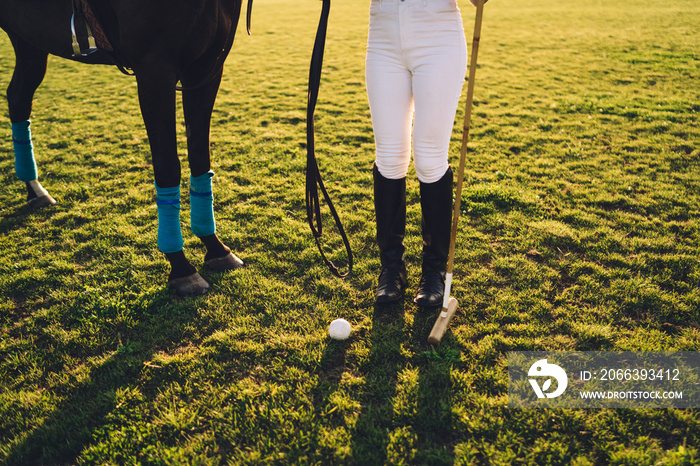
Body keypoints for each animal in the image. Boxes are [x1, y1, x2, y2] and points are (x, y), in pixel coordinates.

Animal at [0, 0, 252, 296]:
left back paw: (35, 191)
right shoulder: (154, 69)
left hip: (28, 40)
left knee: (18, 98)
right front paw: (181, 268)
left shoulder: (204, 66)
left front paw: (216, 249)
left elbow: (200, 156)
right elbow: (167, 164)